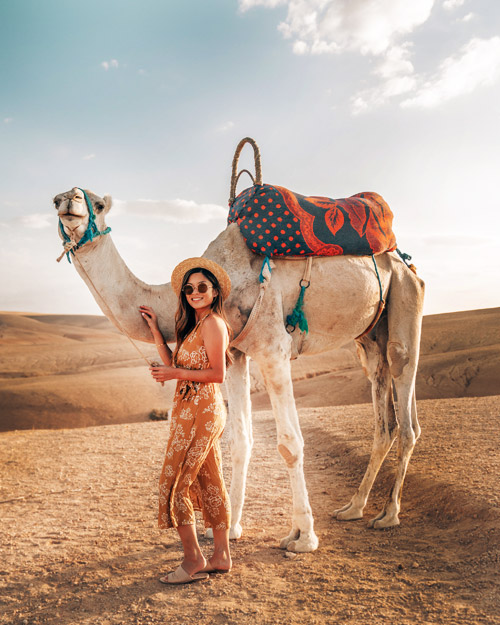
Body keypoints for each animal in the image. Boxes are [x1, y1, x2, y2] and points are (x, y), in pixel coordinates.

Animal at [55, 184, 426, 552]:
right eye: (56, 200)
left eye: (98, 205)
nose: (69, 200)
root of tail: (403, 261)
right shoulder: (233, 352)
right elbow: (241, 440)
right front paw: (229, 528)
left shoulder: (273, 349)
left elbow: (290, 444)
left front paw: (303, 537)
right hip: (369, 335)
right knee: (383, 412)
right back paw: (354, 508)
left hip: (406, 300)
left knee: (405, 397)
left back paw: (389, 515)